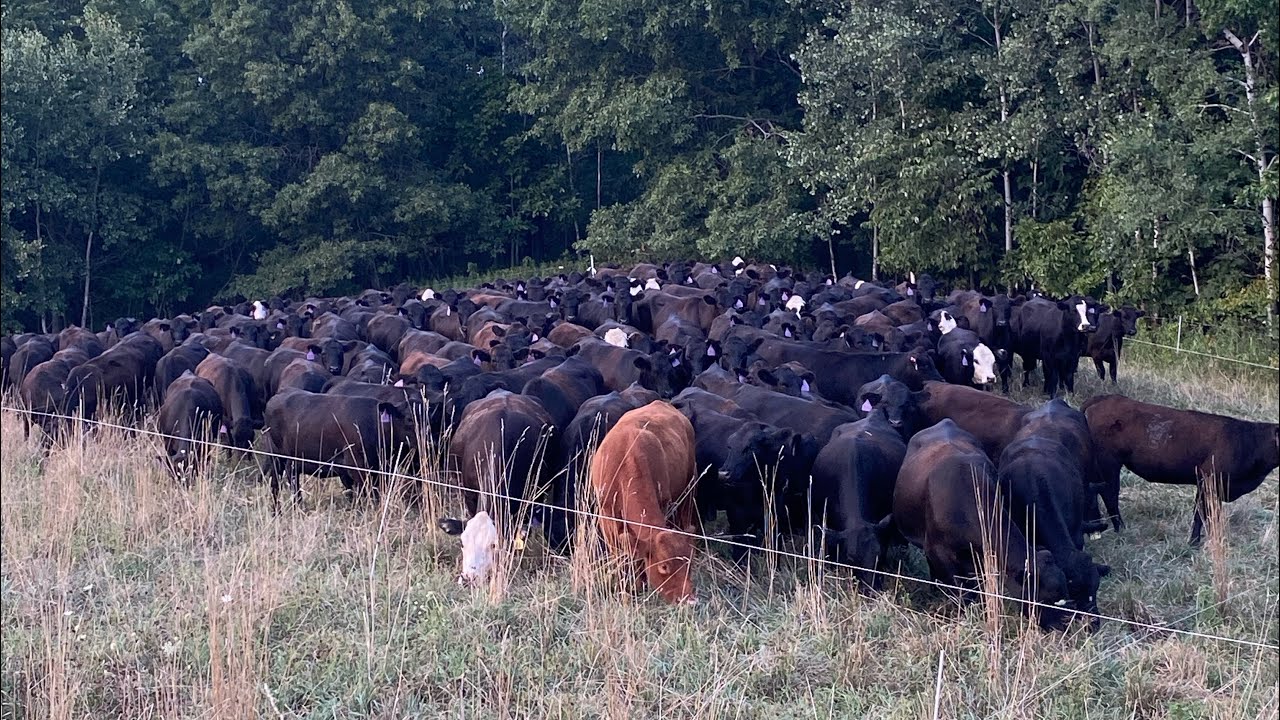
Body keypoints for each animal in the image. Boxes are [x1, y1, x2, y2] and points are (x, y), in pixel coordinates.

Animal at [588, 401, 699, 604]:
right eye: (664, 567)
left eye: (688, 563)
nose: (690, 600)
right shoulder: (606, 517)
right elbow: (622, 554)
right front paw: (627, 587)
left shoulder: (663, 502)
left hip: (690, 484)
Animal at [1082, 395, 1280, 545]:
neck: (1248, 441)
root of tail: (1106, 398)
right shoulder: (1209, 480)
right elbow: (1203, 513)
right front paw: (1196, 542)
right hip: (1109, 464)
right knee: (1109, 495)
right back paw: (1120, 529)